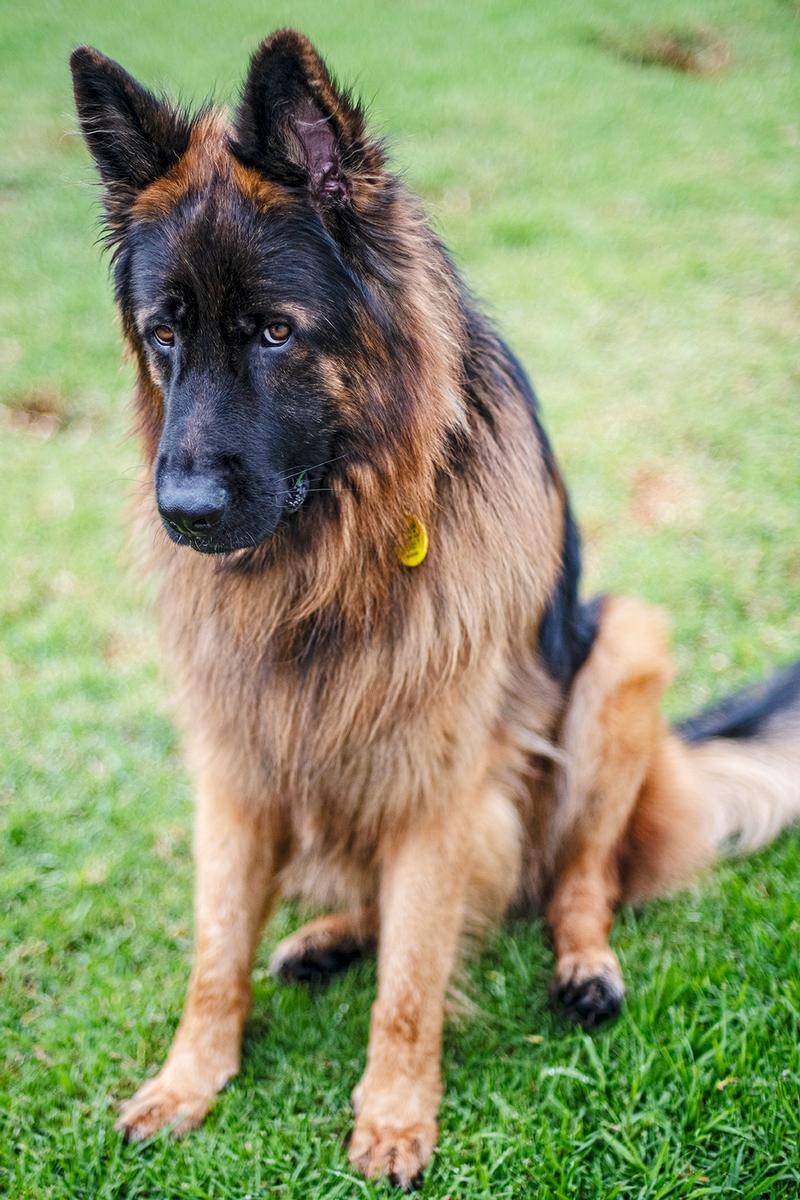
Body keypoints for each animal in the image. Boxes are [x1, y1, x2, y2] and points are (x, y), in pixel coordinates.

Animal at [70, 30, 800, 1190]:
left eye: (274, 332)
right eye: (165, 336)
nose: (182, 512)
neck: (333, 557)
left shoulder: (442, 786)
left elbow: (413, 974)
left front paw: (396, 1114)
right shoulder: (236, 767)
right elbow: (215, 952)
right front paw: (189, 1081)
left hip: (623, 651)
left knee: (577, 879)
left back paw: (583, 964)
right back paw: (326, 935)